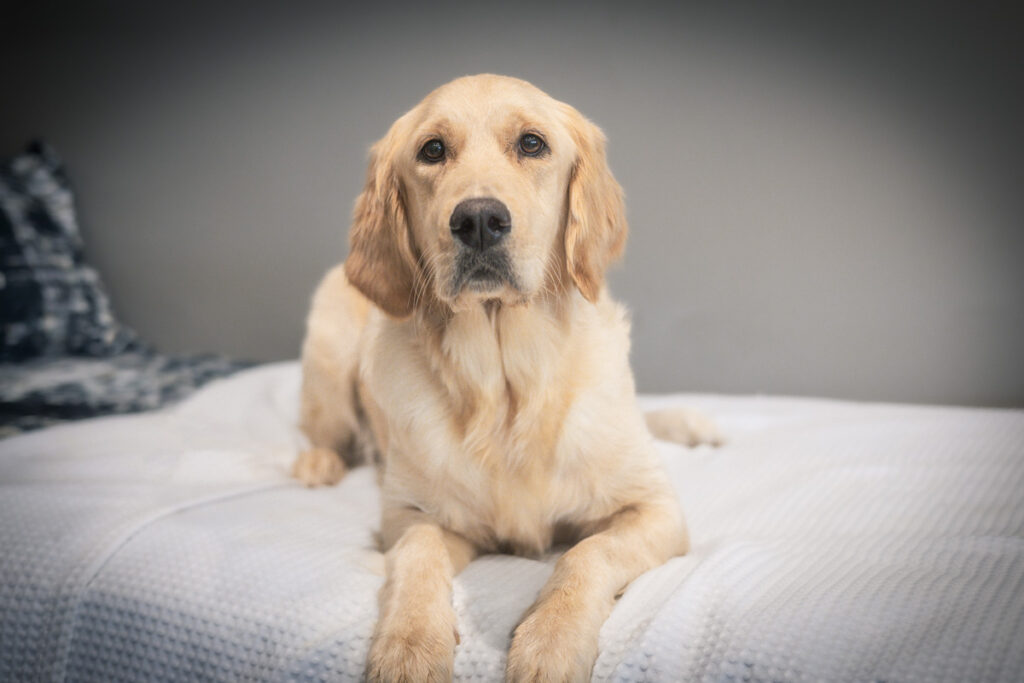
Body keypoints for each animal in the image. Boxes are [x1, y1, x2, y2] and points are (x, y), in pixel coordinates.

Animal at [288, 72, 720, 679]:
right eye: (432, 150)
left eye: (532, 144)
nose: (477, 221)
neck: (507, 391)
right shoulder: (407, 515)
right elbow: (418, 553)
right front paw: (409, 644)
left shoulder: (656, 509)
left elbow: (588, 554)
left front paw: (550, 641)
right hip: (328, 342)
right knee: (324, 432)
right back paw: (317, 462)